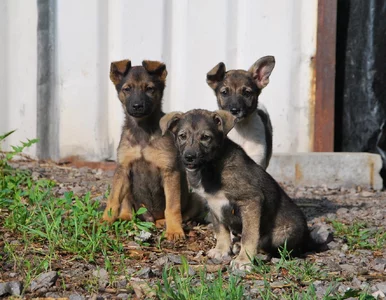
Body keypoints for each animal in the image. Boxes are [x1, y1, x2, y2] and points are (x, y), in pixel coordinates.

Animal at [103, 59, 196, 240]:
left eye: (150, 89)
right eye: (127, 89)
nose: (137, 106)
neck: (142, 131)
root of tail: (150, 218)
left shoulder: (169, 171)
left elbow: (172, 207)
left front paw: (174, 230)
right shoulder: (123, 168)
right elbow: (113, 200)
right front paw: (104, 221)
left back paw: (163, 222)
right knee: (127, 203)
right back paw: (125, 217)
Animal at [161, 109, 328, 270]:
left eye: (206, 137)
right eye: (182, 136)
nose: (189, 157)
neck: (211, 167)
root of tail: (308, 239)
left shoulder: (251, 201)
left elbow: (249, 235)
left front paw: (244, 261)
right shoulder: (213, 204)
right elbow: (221, 230)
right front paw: (221, 250)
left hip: (283, 234)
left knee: (270, 245)